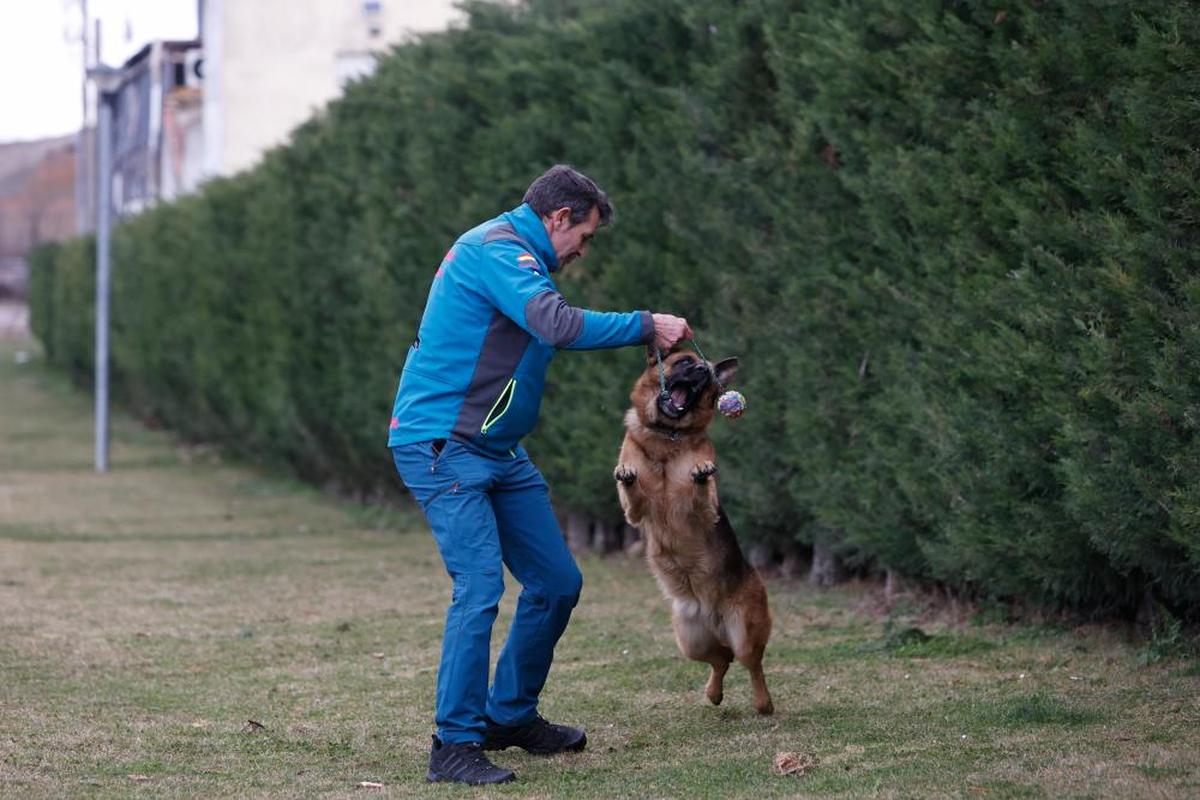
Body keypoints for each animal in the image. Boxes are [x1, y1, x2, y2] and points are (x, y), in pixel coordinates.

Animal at [614, 347, 772, 714]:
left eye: (707, 373)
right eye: (685, 362)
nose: (701, 370)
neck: (667, 435)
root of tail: (712, 613)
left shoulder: (705, 511)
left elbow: (701, 490)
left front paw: (700, 473)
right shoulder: (634, 512)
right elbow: (632, 489)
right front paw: (628, 475)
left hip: (744, 632)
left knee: (750, 663)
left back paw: (763, 703)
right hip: (690, 640)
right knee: (721, 660)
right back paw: (713, 694)